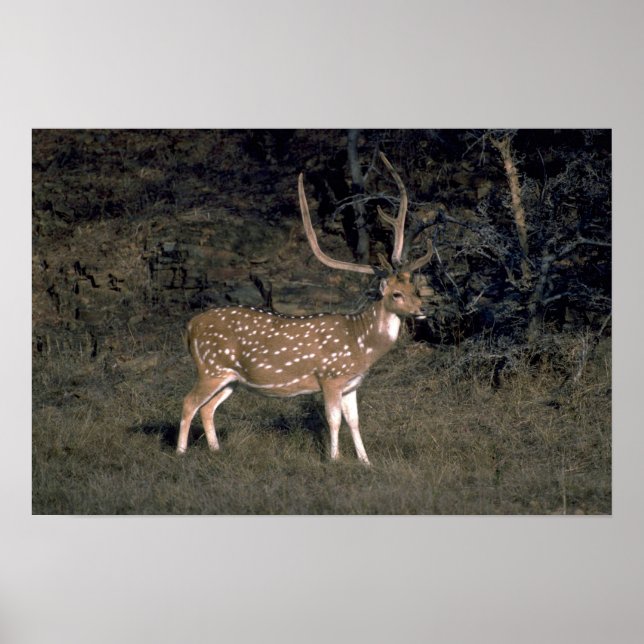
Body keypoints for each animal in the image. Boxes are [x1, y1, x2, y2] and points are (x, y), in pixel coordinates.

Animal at [177, 152, 433, 465]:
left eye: (415, 289)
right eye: (396, 294)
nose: (423, 308)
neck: (361, 344)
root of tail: (190, 327)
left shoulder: (352, 384)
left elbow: (354, 421)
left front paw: (366, 461)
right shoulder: (331, 376)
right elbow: (333, 420)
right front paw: (334, 459)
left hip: (229, 378)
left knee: (207, 407)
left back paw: (216, 450)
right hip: (210, 367)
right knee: (188, 402)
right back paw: (180, 452)